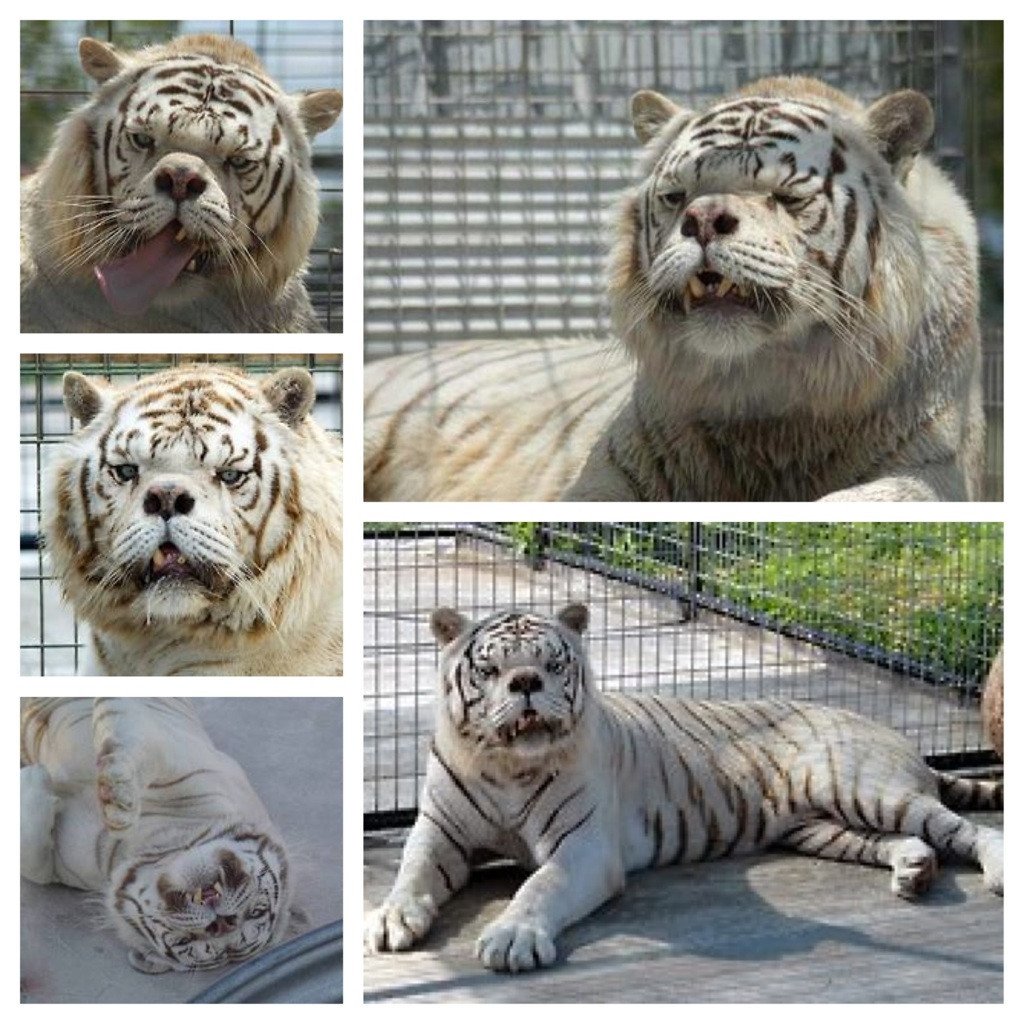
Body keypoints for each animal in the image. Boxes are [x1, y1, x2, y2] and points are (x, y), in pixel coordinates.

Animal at [21, 698, 292, 974]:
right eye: (257, 912)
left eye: (188, 941)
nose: (223, 922)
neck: (157, 838)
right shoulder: (175, 752)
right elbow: (131, 735)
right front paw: (118, 796)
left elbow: (37, 863)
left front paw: (33, 777)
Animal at [364, 76, 983, 502]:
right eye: (676, 195)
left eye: (787, 196)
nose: (705, 219)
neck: (771, 408)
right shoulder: (610, 474)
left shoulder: (930, 467)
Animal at [364, 605, 1004, 973]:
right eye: (492, 669)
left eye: (552, 665)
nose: (525, 683)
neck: (505, 766)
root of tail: (889, 730)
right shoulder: (440, 830)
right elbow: (412, 873)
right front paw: (390, 919)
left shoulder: (584, 848)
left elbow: (538, 887)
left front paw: (511, 937)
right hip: (823, 828)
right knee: (909, 841)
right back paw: (914, 870)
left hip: (863, 787)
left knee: (966, 830)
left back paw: (994, 870)